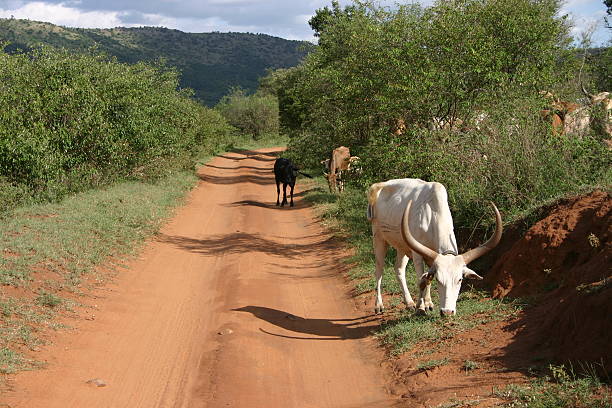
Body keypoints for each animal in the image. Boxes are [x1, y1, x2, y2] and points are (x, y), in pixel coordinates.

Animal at [366, 178, 500, 316]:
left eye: (459, 280)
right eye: (439, 280)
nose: (447, 312)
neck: (432, 215)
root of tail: (379, 186)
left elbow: (428, 279)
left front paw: (428, 303)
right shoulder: (417, 255)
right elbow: (422, 281)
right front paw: (420, 307)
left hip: (401, 246)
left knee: (399, 268)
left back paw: (409, 303)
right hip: (378, 239)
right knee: (379, 270)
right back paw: (379, 305)